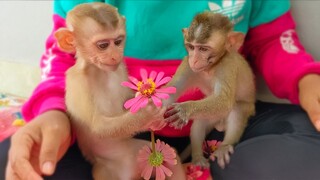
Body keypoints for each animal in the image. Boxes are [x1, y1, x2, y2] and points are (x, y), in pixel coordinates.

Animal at [54, 2, 185, 180]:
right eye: (103, 45)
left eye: (118, 42)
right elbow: (97, 127)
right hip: (107, 172)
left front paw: (154, 118)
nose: (116, 55)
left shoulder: (121, 67)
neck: (100, 71)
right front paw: (146, 114)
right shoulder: (78, 82)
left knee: (170, 159)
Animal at [165, 11, 255, 169]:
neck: (210, 68)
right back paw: (197, 157)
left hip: (244, 108)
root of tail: (220, 124)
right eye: (191, 47)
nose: (194, 60)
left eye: (203, 49)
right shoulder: (187, 65)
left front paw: (185, 108)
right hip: (212, 114)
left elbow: (224, 101)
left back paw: (224, 146)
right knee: (200, 122)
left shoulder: (227, 65)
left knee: (237, 109)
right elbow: (170, 92)